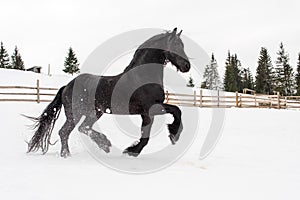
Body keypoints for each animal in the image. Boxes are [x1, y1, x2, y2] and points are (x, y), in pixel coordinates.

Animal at [27, 27, 190, 158]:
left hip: (94, 113)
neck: (142, 76)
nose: (187, 66)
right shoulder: (149, 109)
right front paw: (173, 135)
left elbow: (166, 118)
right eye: (176, 45)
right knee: (65, 131)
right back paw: (70, 153)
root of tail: (66, 86)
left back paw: (103, 145)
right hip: (76, 113)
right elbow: (173, 113)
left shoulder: (148, 112)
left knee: (82, 128)